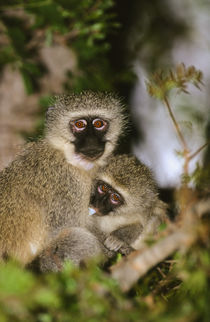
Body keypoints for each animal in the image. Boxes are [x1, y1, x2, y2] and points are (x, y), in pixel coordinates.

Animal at [0, 90, 125, 264]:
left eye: (99, 124)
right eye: (79, 125)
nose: (91, 142)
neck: (66, 156)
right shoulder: (69, 183)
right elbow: (62, 231)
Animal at [32, 155, 167, 270]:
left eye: (115, 198)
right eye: (103, 188)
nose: (98, 203)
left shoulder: (143, 211)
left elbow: (140, 223)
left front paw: (118, 238)